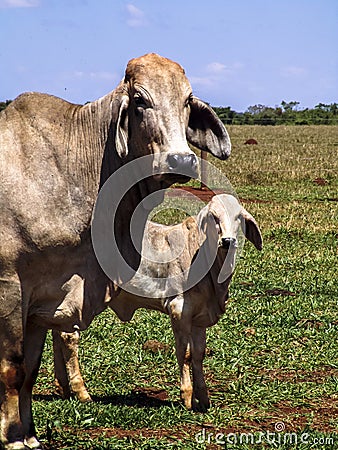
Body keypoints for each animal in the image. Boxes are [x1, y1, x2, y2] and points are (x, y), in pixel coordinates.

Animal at [0, 53, 232, 450]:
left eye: (187, 100)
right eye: (139, 100)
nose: (182, 160)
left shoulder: (44, 296)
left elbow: (30, 369)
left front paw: (30, 436)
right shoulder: (11, 286)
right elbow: (14, 368)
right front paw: (14, 439)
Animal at [53, 193, 264, 412]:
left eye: (238, 217)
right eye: (214, 216)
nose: (228, 241)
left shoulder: (199, 318)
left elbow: (198, 354)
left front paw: (203, 398)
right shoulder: (179, 309)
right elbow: (185, 353)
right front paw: (187, 397)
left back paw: (63, 387)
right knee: (68, 337)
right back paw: (81, 391)